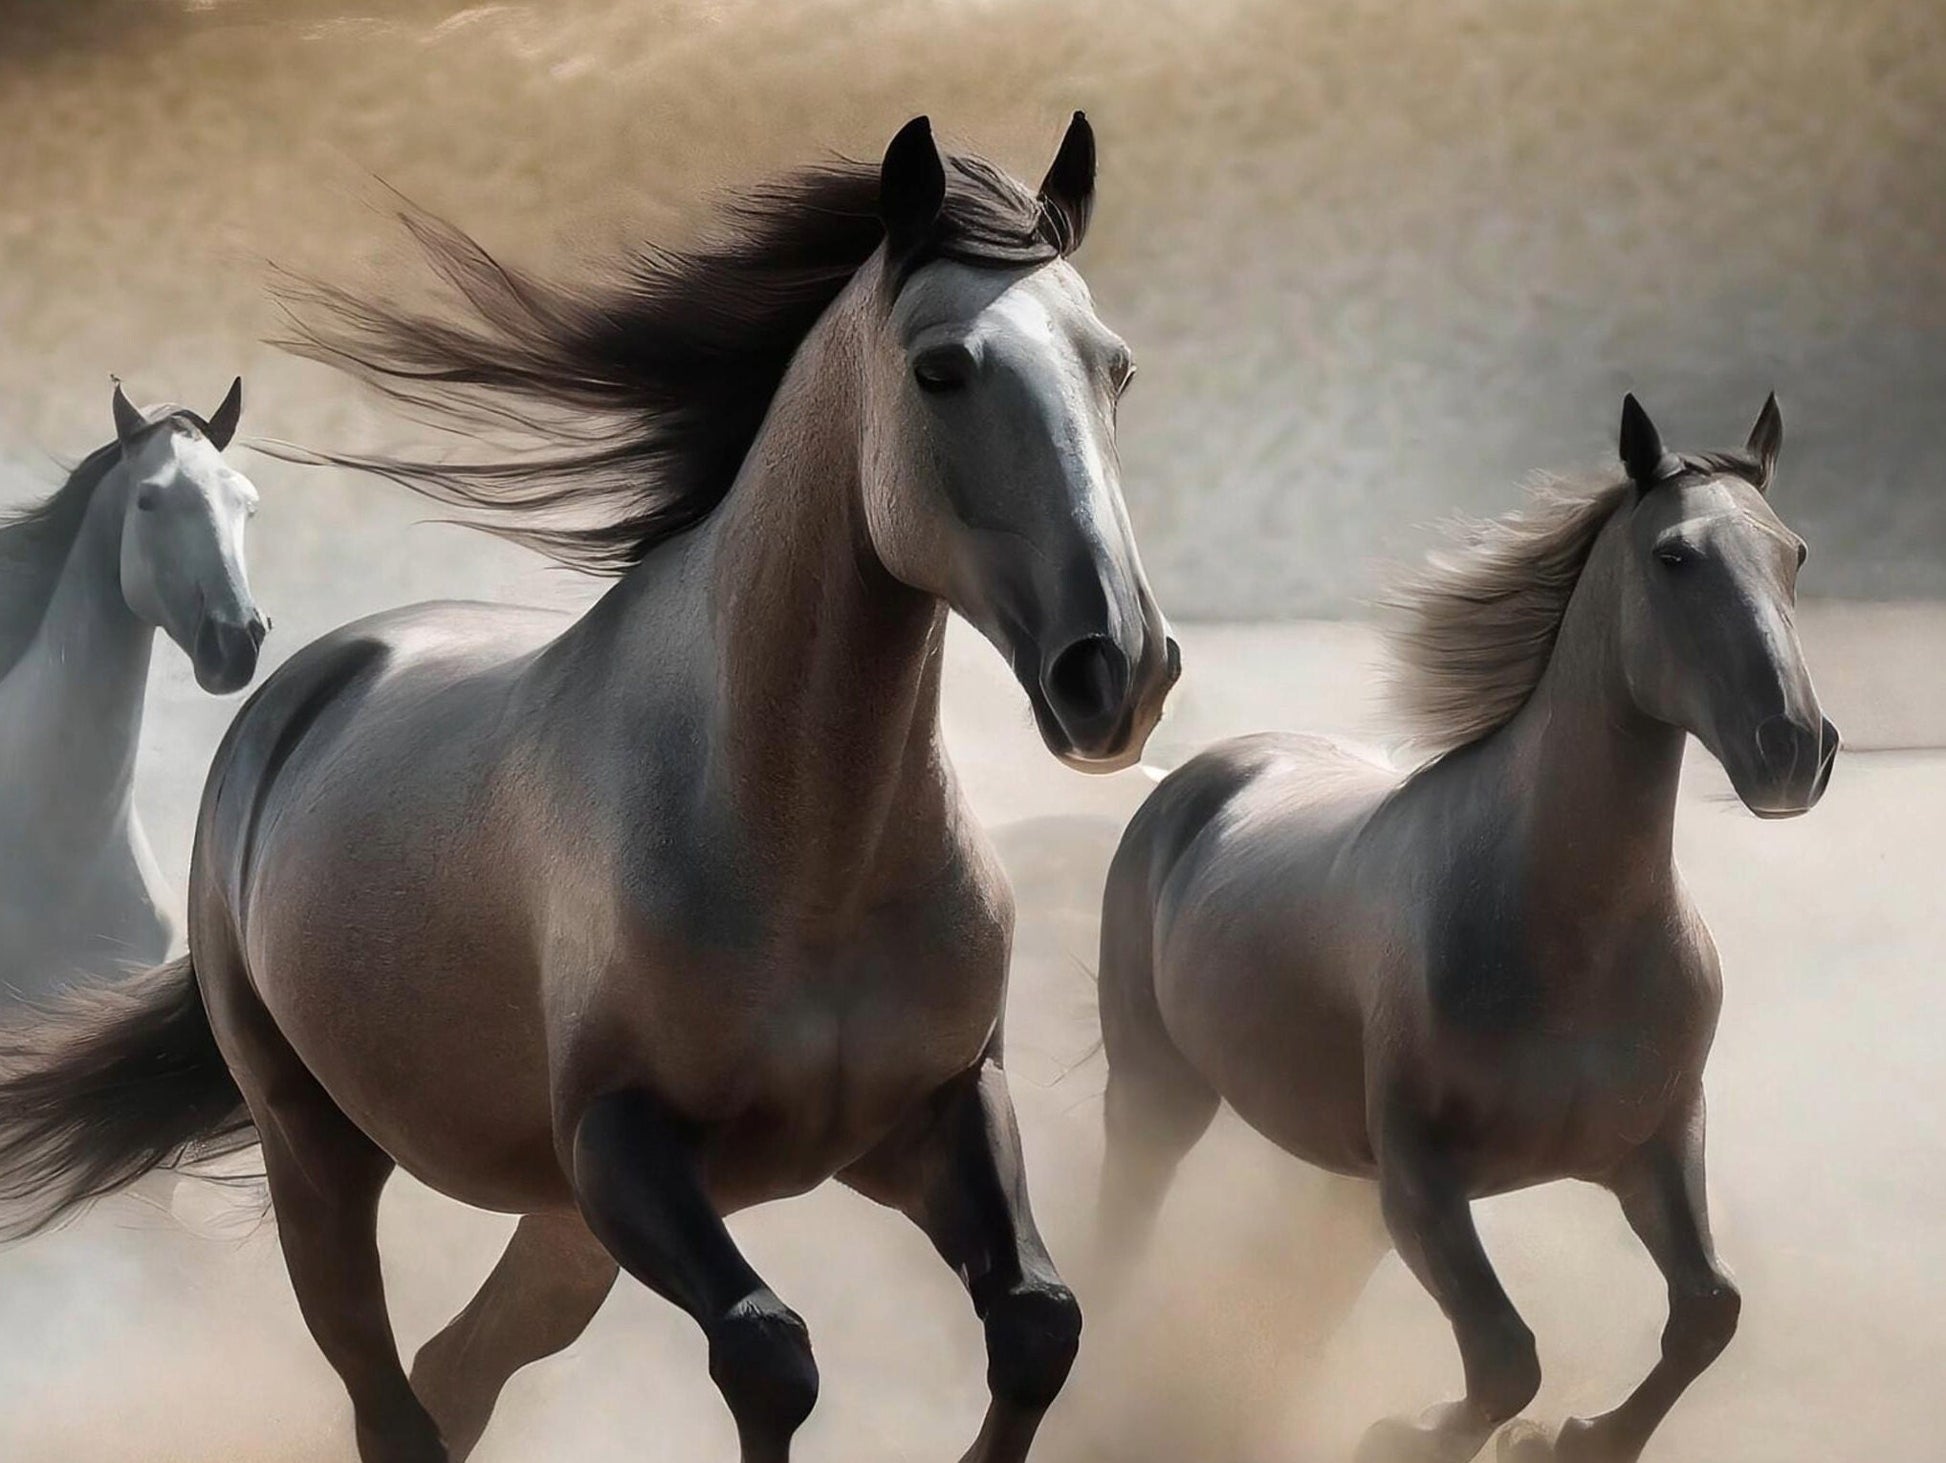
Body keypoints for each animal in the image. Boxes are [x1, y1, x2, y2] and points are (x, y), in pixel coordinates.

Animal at [1095, 394, 1836, 1463]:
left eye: (1794, 554)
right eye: (1675, 557)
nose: (1795, 749)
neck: (1568, 940)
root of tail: (1204, 776)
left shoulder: (1656, 1146)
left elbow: (1707, 1310)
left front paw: (1581, 1438)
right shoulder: (1420, 1180)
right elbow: (1504, 1358)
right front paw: (1409, 1433)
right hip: (1159, 1094)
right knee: (1120, 1237)